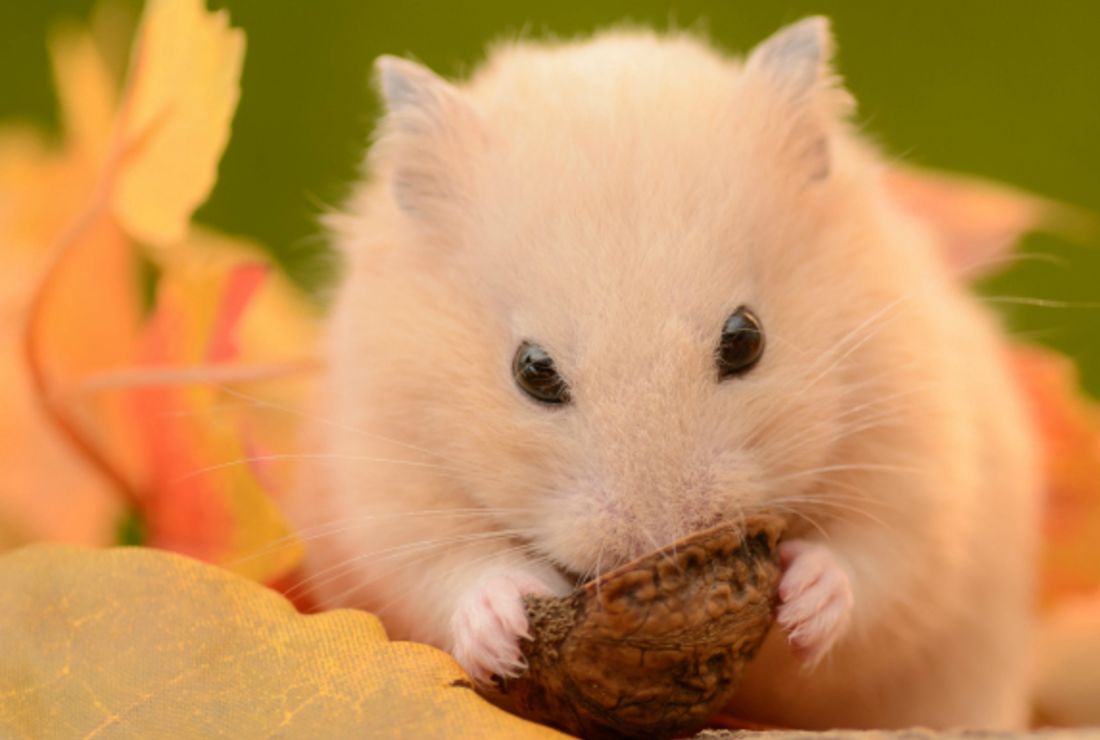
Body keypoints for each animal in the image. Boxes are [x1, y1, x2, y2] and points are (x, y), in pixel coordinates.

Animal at [289, 17, 1040, 731]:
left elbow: (877, 562)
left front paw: (807, 597)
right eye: (532, 371)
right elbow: (443, 570)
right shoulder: (383, 478)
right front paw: (503, 624)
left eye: (744, 339)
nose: (666, 544)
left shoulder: (916, 450)